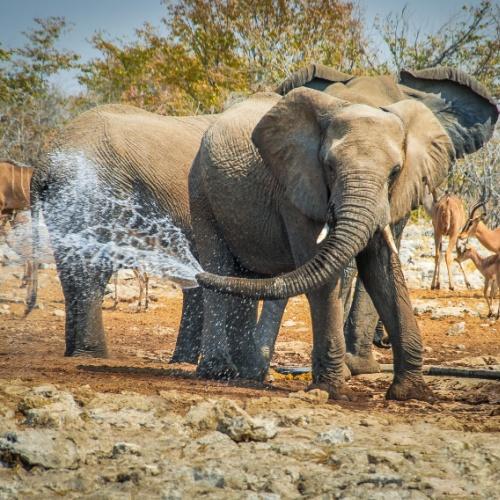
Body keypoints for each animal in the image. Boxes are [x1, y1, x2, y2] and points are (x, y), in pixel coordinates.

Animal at [191, 67, 496, 402]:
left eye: (395, 171)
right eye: (329, 167)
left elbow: (382, 271)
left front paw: (411, 392)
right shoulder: (296, 188)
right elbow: (324, 273)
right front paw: (333, 389)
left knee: (248, 276)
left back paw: (249, 373)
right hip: (199, 187)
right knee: (219, 265)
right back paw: (219, 371)